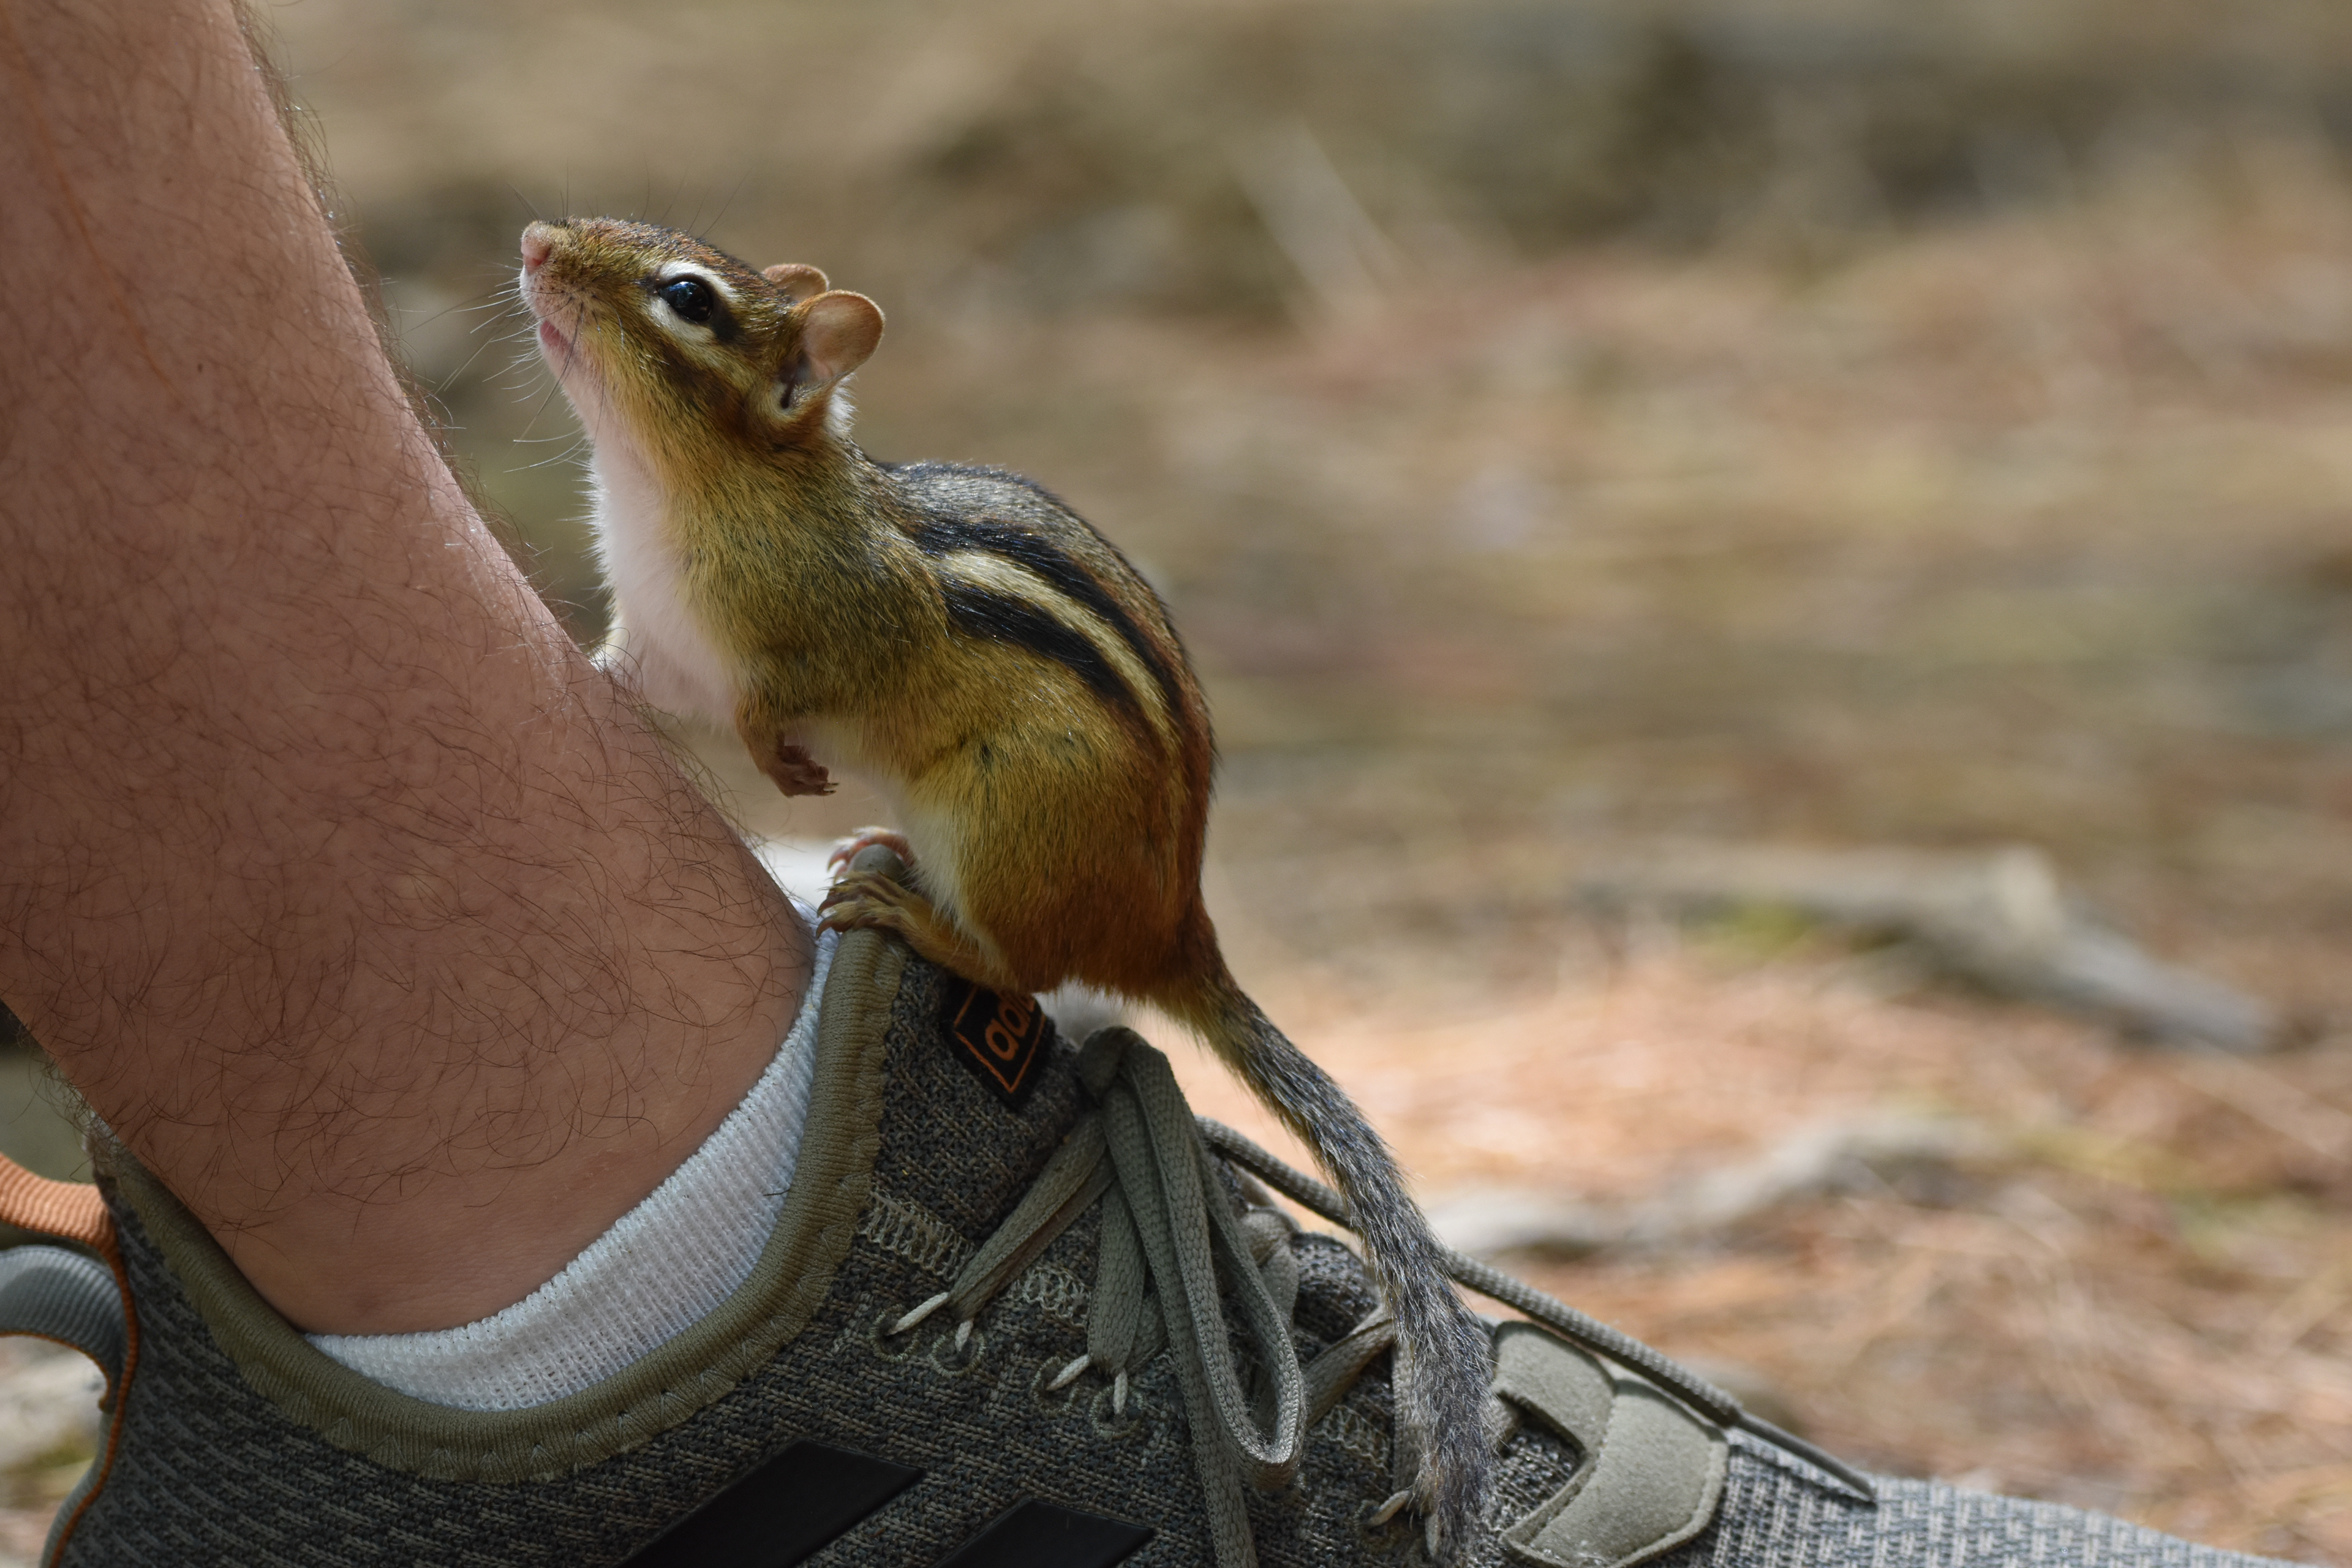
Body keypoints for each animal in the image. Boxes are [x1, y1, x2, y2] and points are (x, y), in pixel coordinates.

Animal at [518, 217, 1492, 1547]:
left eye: (685, 296)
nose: (535, 241)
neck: (675, 486)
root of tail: (1171, 929)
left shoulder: (832, 631)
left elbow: (792, 697)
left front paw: (786, 760)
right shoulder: (663, 650)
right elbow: (621, 674)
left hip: (1002, 822)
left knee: (1022, 966)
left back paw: (905, 905)